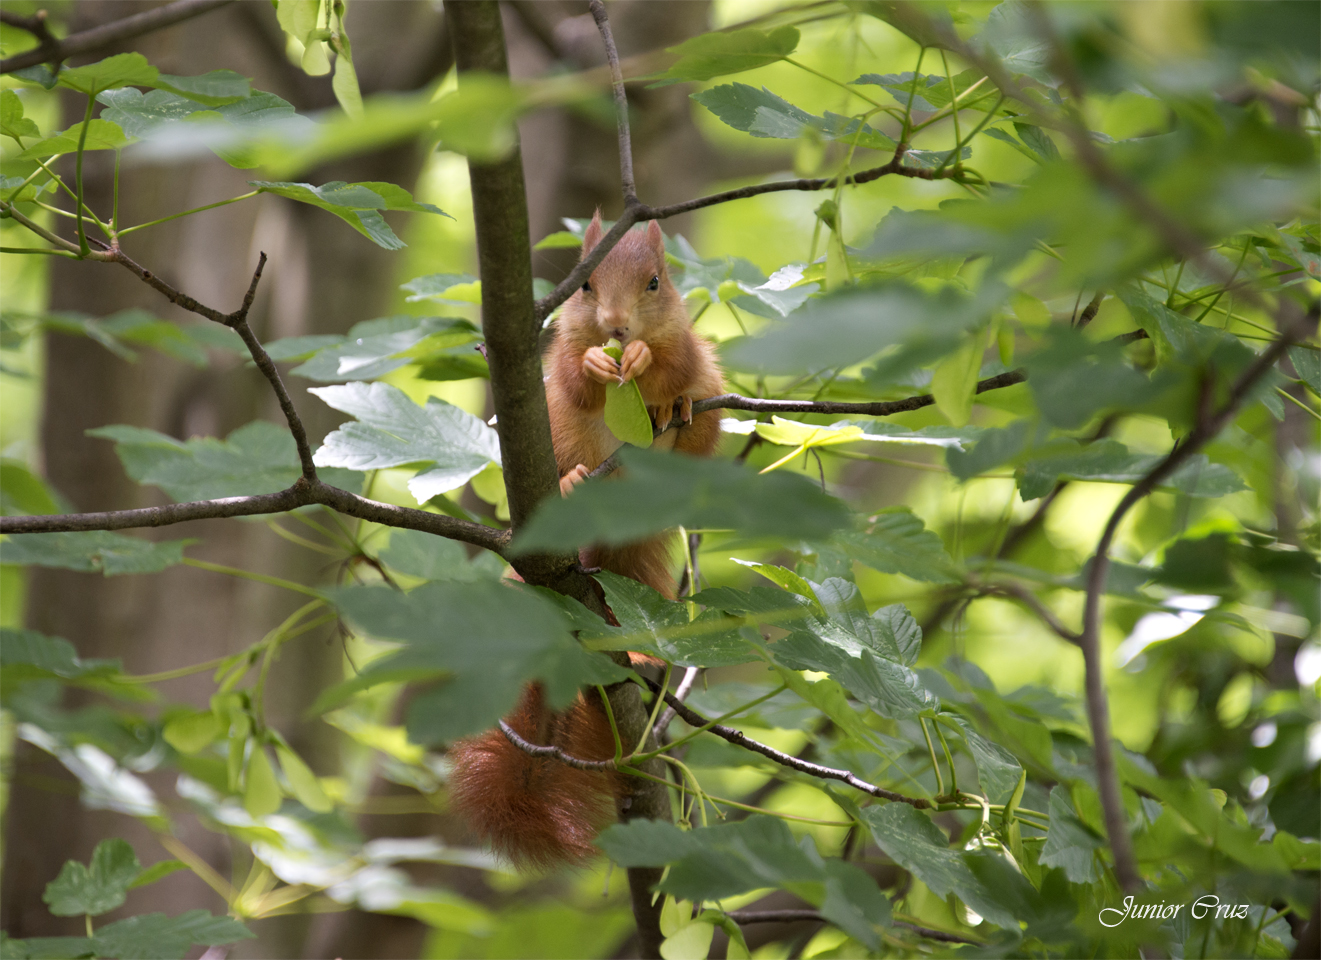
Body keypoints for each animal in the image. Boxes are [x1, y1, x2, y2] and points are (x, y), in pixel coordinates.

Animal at [449, 213, 729, 866]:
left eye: (656, 283)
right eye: (583, 286)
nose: (617, 327)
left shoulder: (689, 343)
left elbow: (676, 362)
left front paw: (647, 358)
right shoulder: (559, 359)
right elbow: (576, 381)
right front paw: (599, 367)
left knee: (695, 417)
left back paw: (679, 411)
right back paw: (573, 483)